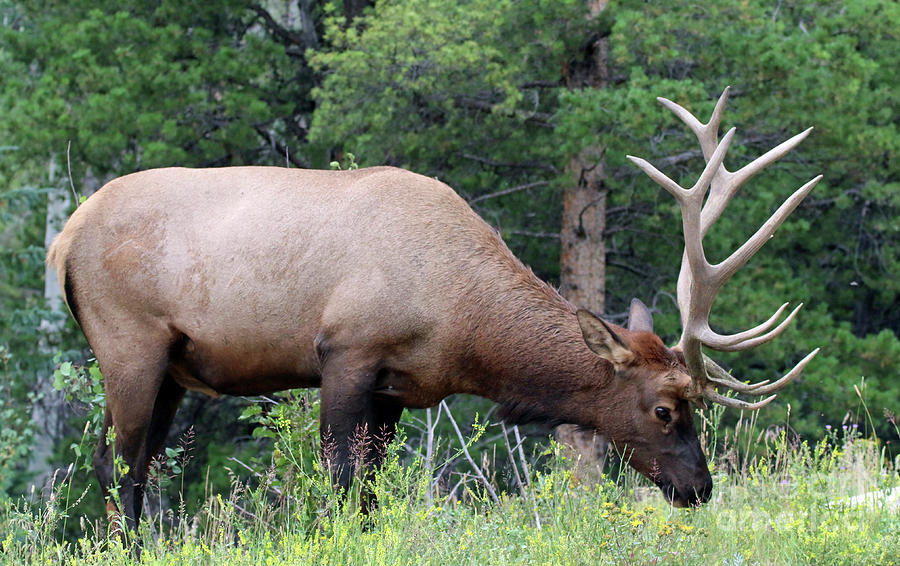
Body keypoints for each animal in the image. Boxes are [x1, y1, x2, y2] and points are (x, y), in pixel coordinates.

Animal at [47, 86, 816, 536]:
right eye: (664, 408)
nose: (700, 487)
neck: (461, 327)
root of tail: (64, 238)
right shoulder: (347, 351)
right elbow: (342, 483)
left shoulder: (398, 388)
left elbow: (369, 492)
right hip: (128, 344)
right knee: (116, 466)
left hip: (173, 370)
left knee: (138, 466)